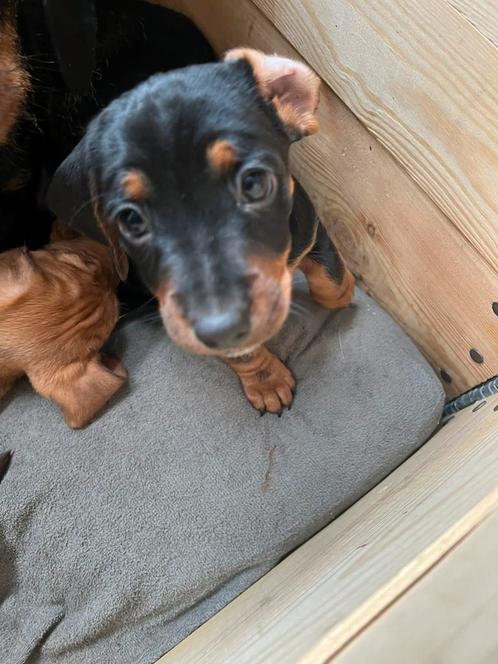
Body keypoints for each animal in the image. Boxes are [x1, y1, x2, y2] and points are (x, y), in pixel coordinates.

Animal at [47, 48, 354, 416]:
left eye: (254, 183)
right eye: (131, 220)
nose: (220, 326)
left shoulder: (309, 226)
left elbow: (330, 278)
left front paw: (346, 290)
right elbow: (246, 353)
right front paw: (268, 383)